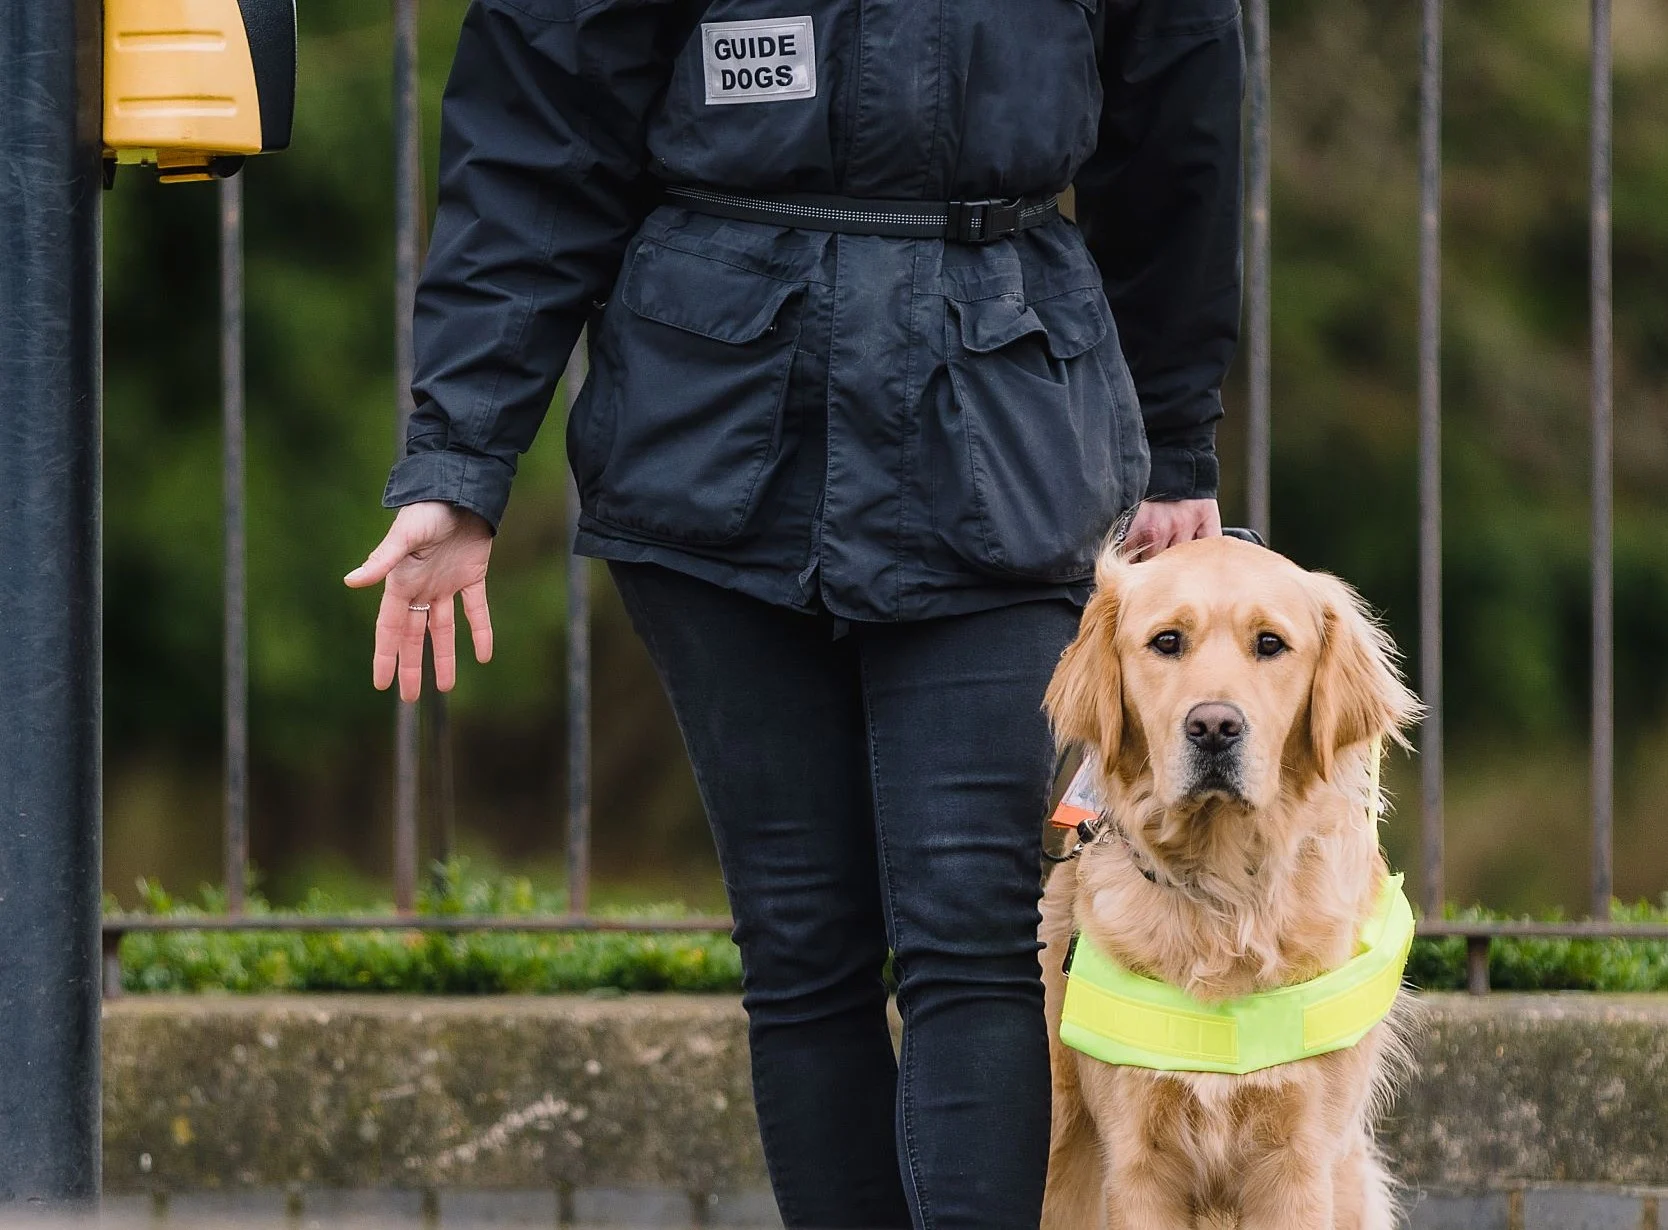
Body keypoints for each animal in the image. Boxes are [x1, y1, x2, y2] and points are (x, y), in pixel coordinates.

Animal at [1040, 537, 1421, 1228]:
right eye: (1166, 641)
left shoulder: (1299, 1164)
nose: (1214, 726)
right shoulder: (1138, 1164)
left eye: (1270, 644)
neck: (1224, 898)